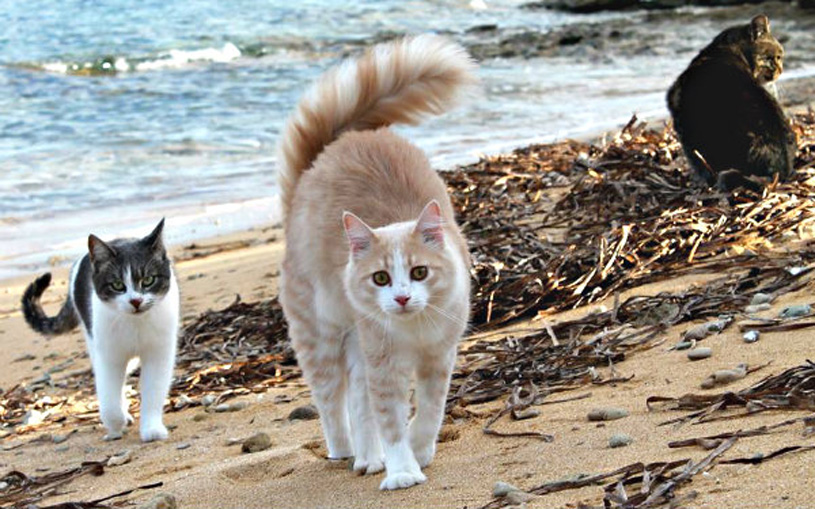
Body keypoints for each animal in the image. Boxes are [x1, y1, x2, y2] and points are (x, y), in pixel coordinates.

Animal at [22, 218, 180, 440]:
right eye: (117, 285)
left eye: (148, 280)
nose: (136, 301)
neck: (135, 325)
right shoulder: (108, 355)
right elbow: (108, 397)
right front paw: (116, 423)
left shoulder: (159, 353)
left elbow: (153, 390)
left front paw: (151, 428)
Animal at [278, 35, 474, 488]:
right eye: (381, 278)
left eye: (419, 272)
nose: (401, 298)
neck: (414, 330)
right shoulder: (383, 365)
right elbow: (390, 421)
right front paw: (402, 468)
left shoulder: (439, 358)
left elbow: (430, 411)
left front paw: (420, 450)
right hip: (322, 335)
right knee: (334, 404)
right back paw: (351, 452)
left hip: (355, 346)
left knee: (355, 401)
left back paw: (369, 457)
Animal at [668, 14, 796, 192]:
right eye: (772, 58)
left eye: (780, 57)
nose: (781, 70)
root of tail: (781, 170)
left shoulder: (684, 126)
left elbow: (697, 162)